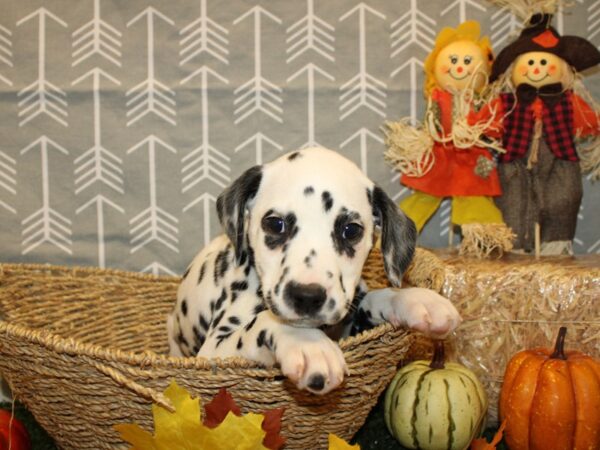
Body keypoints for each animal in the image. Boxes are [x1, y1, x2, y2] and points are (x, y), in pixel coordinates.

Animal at [169, 148, 460, 394]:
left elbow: (374, 298)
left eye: (351, 230)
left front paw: (416, 300)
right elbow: (260, 322)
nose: (307, 296)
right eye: (275, 224)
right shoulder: (214, 349)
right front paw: (307, 344)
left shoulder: (349, 322)